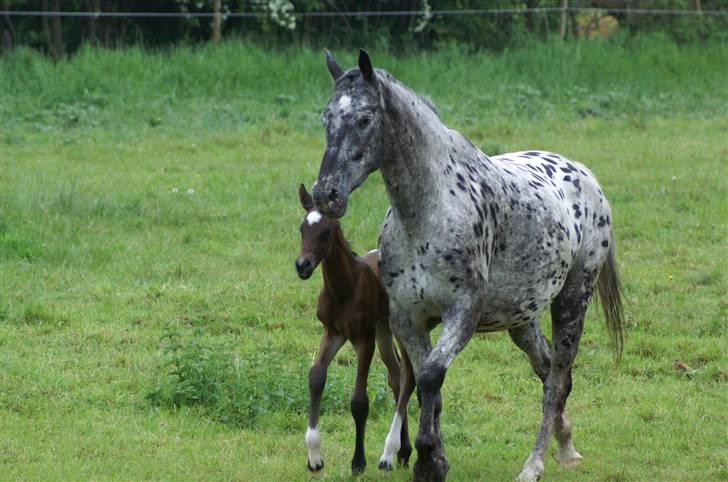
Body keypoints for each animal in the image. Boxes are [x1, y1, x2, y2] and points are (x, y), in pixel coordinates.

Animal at [292, 184, 412, 474]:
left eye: (326, 231)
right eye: (302, 229)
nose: (302, 266)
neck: (344, 289)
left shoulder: (363, 339)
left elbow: (359, 401)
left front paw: (358, 461)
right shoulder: (332, 333)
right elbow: (316, 377)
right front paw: (314, 457)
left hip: (399, 328)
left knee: (409, 377)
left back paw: (391, 453)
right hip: (383, 328)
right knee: (396, 376)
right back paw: (403, 451)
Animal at [310, 50, 624, 482]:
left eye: (364, 119)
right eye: (326, 117)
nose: (327, 194)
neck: (429, 214)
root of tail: (585, 176)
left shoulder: (462, 313)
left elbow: (429, 377)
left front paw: (427, 460)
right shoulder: (407, 319)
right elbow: (424, 385)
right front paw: (434, 459)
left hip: (572, 300)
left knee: (557, 380)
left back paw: (535, 464)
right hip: (522, 319)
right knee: (547, 370)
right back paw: (566, 447)